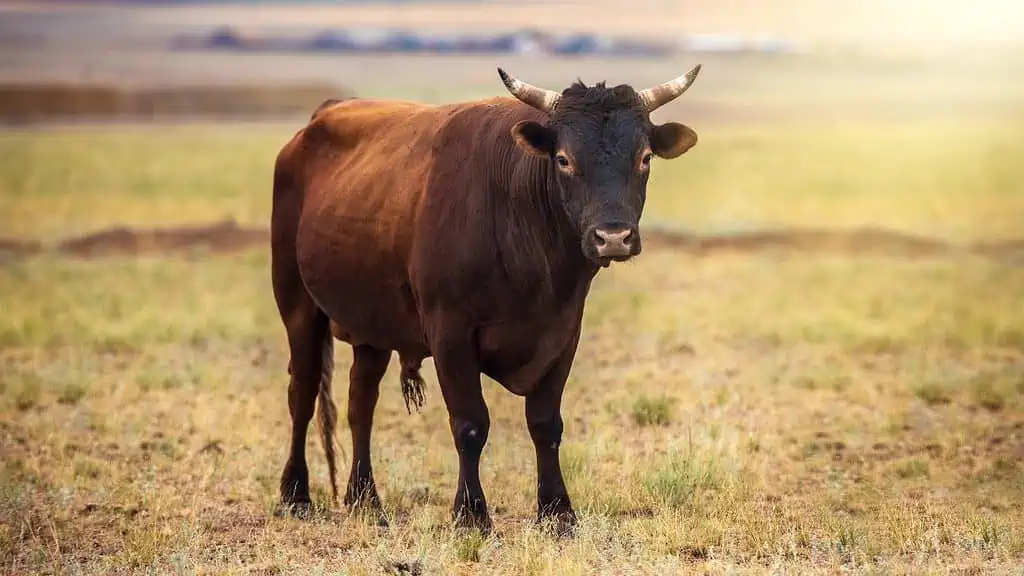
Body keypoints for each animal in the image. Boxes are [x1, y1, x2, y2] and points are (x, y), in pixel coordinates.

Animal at [272, 63, 704, 532]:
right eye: (563, 159)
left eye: (644, 158)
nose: (612, 237)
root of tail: (317, 121)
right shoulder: (450, 335)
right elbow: (470, 423)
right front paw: (471, 512)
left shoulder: (563, 335)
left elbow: (545, 423)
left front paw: (557, 510)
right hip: (298, 305)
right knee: (302, 393)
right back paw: (295, 493)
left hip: (372, 326)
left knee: (360, 403)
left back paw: (365, 499)